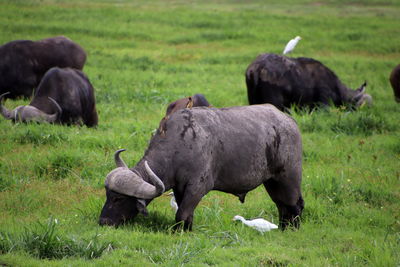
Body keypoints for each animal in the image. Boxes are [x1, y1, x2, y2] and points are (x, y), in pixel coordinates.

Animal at [99, 105, 304, 231]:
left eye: (118, 198)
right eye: (108, 195)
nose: (103, 221)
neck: (178, 147)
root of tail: (290, 122)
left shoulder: (197, 187)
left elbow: (182, 213)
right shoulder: (179, 188)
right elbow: (187, 214)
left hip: (288, 177)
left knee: (295, 204)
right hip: (271, 181)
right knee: (282, 205)